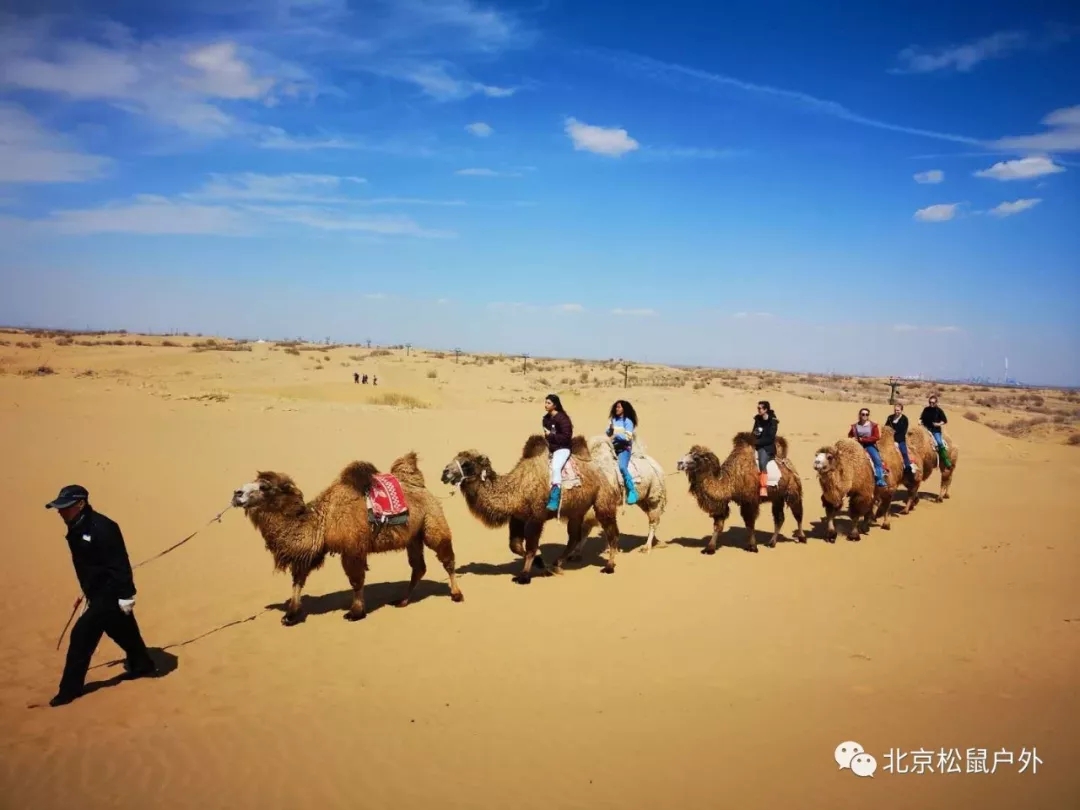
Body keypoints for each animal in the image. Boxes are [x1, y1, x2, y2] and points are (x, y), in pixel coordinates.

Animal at [230, 453, 462, 626]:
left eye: (264, 487)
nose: (236, 493)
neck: (323, 521)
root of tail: (420, 485)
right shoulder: (312, 553)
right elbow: (298, 579)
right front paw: (290, 615)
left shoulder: (352, 548)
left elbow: (356, 580)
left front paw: (355, 613)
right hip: (412, 537)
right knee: (418, 567)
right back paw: (402, 601)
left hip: (432, 523)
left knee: (447, 558)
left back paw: (456, 594)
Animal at [440, 438, 626, 583]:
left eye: (466, 463)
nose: (444, 473)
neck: (517, 489)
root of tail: (606, 470)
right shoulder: (517, 518)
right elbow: (515, 546)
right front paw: (541, 563)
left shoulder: (536, 517)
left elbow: (530, 547)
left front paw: (524, 575)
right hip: (576, 510)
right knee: (574, 537)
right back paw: (556, 564)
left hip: (602, 499)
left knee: (611, 532)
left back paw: (609, 566)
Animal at [678, 434, 807, 557]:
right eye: (688, 454)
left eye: (696, 458)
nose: (679, 463)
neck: (732, 480)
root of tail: (787, 462)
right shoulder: (723, 503)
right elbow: (718, 525)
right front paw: (709, 548)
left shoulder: (750, 501)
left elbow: (750, 524)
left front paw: (753, 547)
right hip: (777, 496)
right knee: (779, 518)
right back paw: (772, 542)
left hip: (792, 489)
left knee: (798, 513)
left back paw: (802, 537)